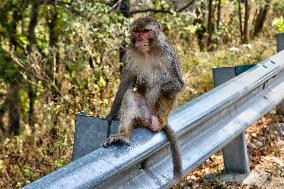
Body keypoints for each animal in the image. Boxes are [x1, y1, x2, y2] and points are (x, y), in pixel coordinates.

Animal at [102, 17, 184, 178]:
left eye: (146, 31)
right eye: (137, 31)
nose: (140, 39)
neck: (148, 51)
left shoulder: (168, 55)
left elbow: (177, 84)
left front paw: (153, 83)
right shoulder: (130, 54)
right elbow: (127, 83)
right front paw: (111, 115)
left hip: (159, 117)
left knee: (162, 83)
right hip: (143, 117)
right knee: (130, 95)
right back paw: (123, 135)